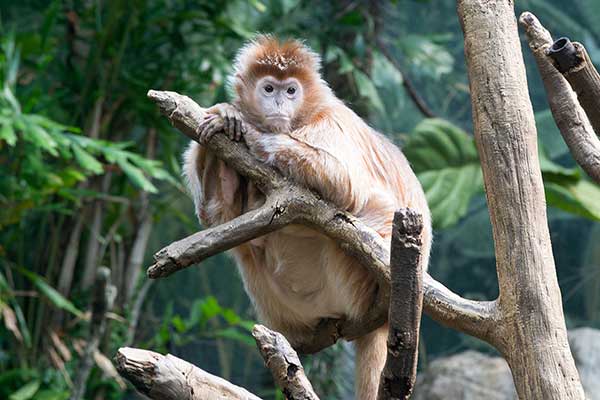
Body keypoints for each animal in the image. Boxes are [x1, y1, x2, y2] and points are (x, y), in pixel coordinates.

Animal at [183, 35, 432, 400]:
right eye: (269, 88)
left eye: (291, 91)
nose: (278, 104)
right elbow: (215, 216)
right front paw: (227, 117)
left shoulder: (332, 119)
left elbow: (345, 186)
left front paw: (250, 132)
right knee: (249, 246)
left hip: (357, 279)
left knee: (364, 213)